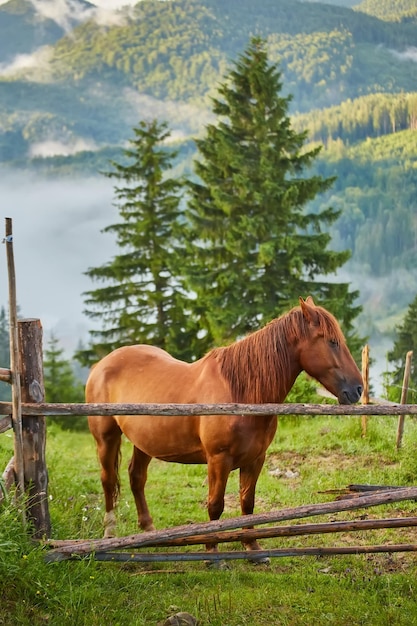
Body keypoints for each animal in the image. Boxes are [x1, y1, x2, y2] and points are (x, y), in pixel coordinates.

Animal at [87, 294, 360, 560]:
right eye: (332, 342)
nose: (357, 389)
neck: (240, 393)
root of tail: (101, 364)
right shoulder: (219, 460)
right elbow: (215, 505)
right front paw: (212, 552)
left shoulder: (255, 459)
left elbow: (247, 503)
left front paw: (253, 548)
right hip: (106, 438)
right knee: (108, 479)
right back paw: (110, 533)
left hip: (144, 442)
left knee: (136, 477)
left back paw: (149, 530)